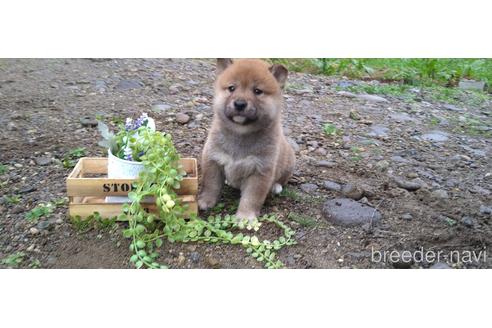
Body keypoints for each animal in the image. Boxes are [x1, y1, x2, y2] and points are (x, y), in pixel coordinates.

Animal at [197, 59, 296, 223]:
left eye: (257, 91)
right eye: (232, 88)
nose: (240, 104)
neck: (241, 134)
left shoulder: (260, 171)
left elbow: (251, 197)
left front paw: (245, 217)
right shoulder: (213, 160)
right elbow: (211, 185)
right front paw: (205, 201)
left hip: (288, 163)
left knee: (282, 180)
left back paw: (276, 187)